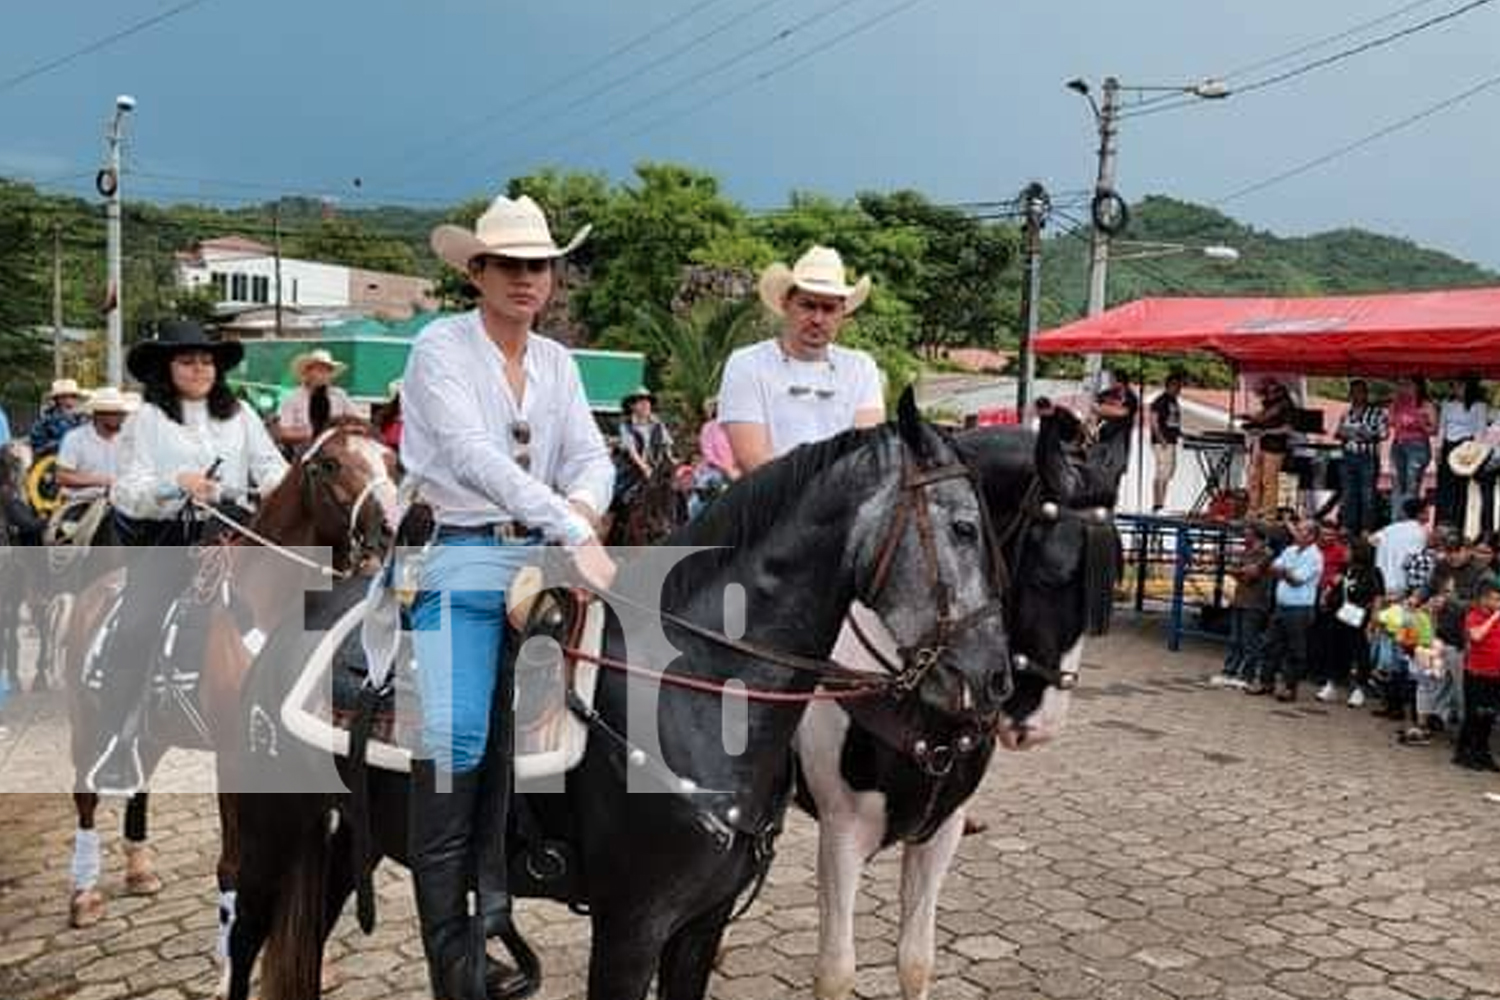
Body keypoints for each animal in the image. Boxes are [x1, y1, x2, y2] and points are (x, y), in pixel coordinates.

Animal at [63, 422, 399, 995]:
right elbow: (233, 868)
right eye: (330, 464)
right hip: (89, 720)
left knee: (137, 782)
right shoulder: (238, 757)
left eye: (392, 461)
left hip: (150, 731)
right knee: (86, 794)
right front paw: (227, 970)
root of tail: (93, 593)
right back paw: (84, 894)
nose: (391, 528)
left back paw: (139, 867)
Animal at [228, 389, 1014, 1000]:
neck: (694, 692)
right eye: (964, 527)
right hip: (270, 832)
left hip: (339, 837)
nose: (997, 681)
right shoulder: (632, 928)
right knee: (245, 942)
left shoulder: (700, 926)